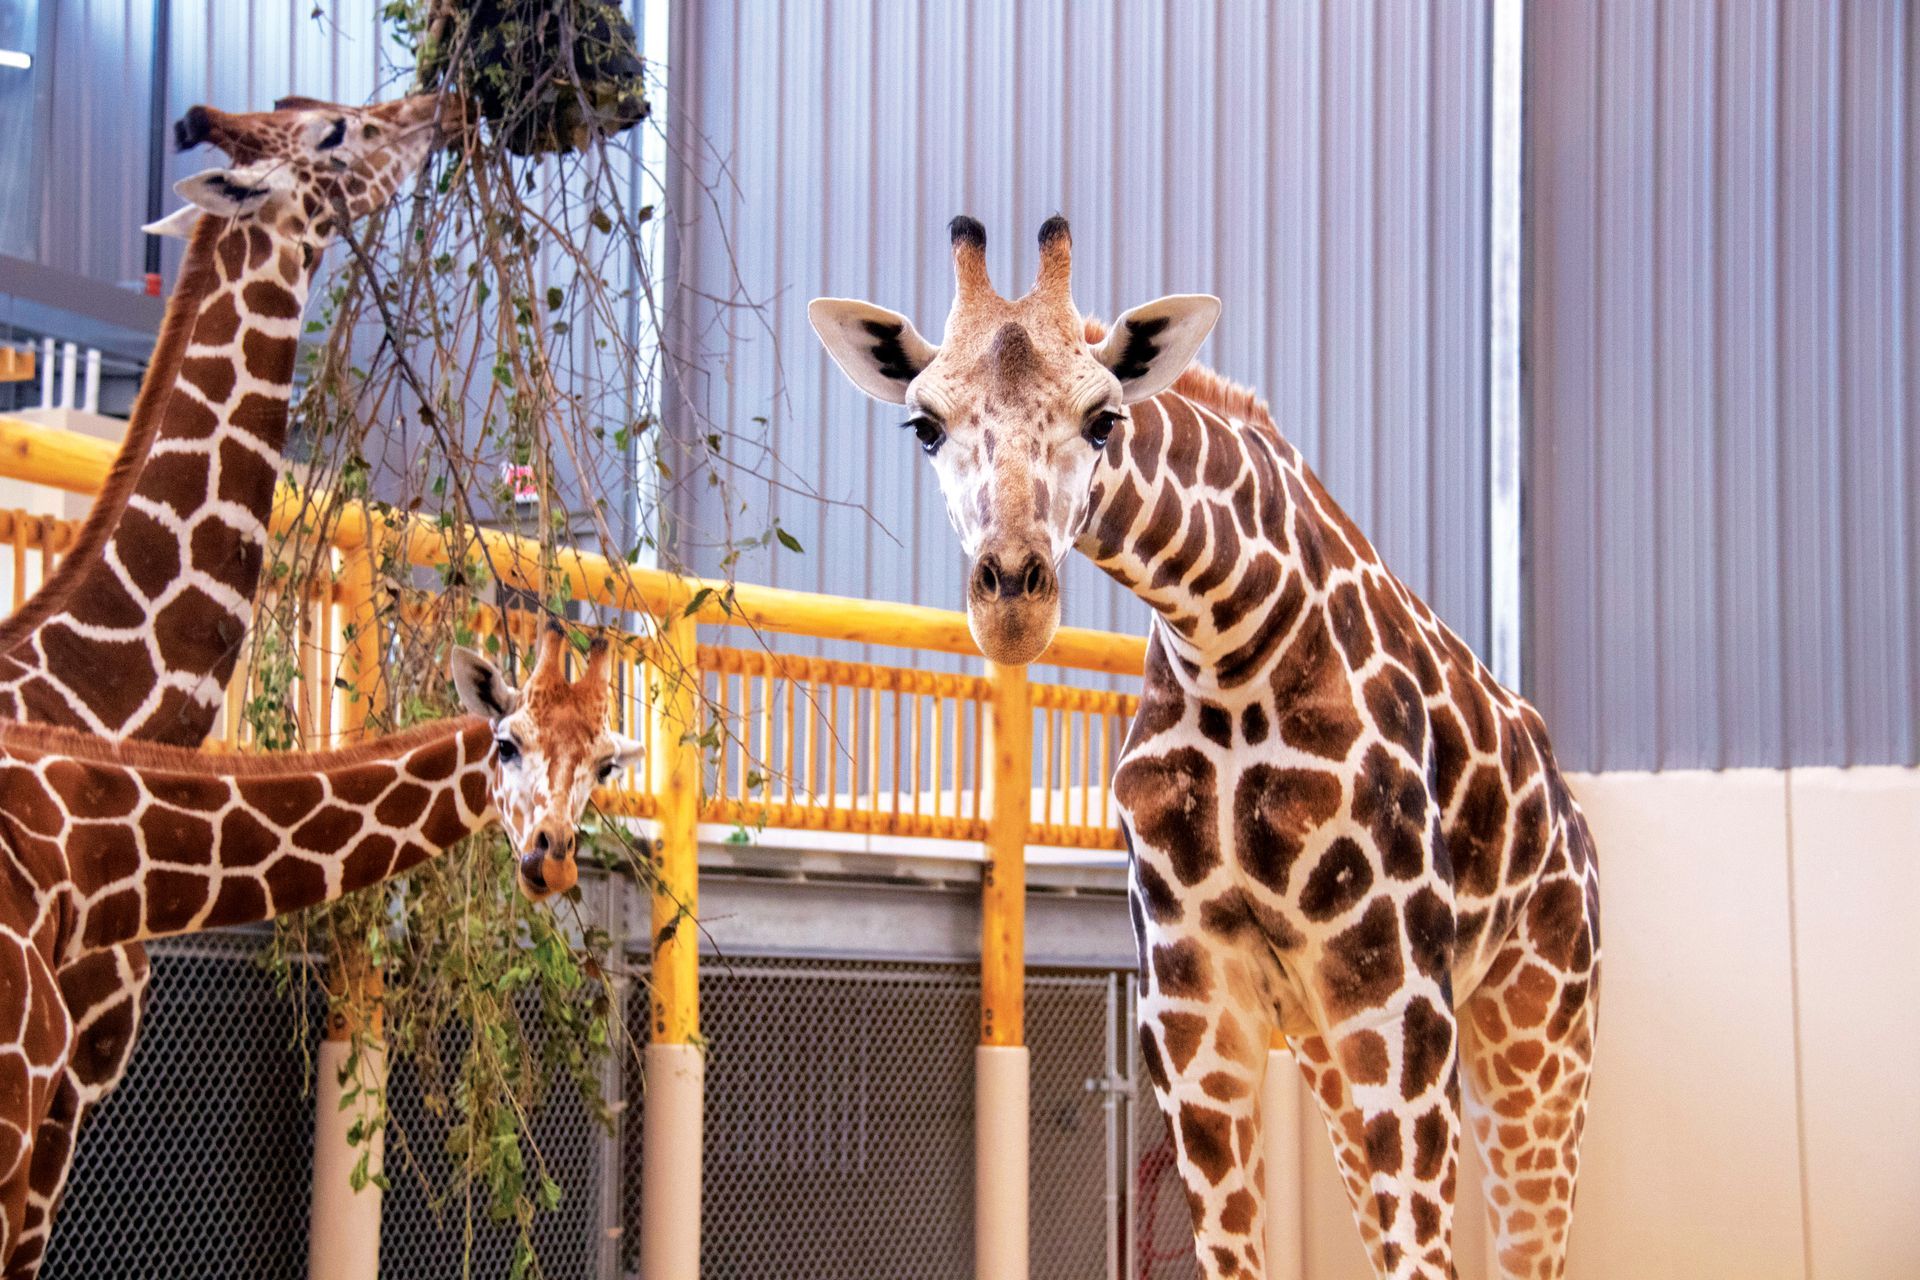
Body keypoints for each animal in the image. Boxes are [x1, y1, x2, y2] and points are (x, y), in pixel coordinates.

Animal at [810, 214, 1605, 1274]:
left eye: (1103, 419)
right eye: (924, 425)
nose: (1013, 596)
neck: (1231, 640)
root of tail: (1571, 812)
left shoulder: (1395, 999)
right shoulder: (1193, 1014)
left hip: (1538, 1028)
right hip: (1330, 1049)